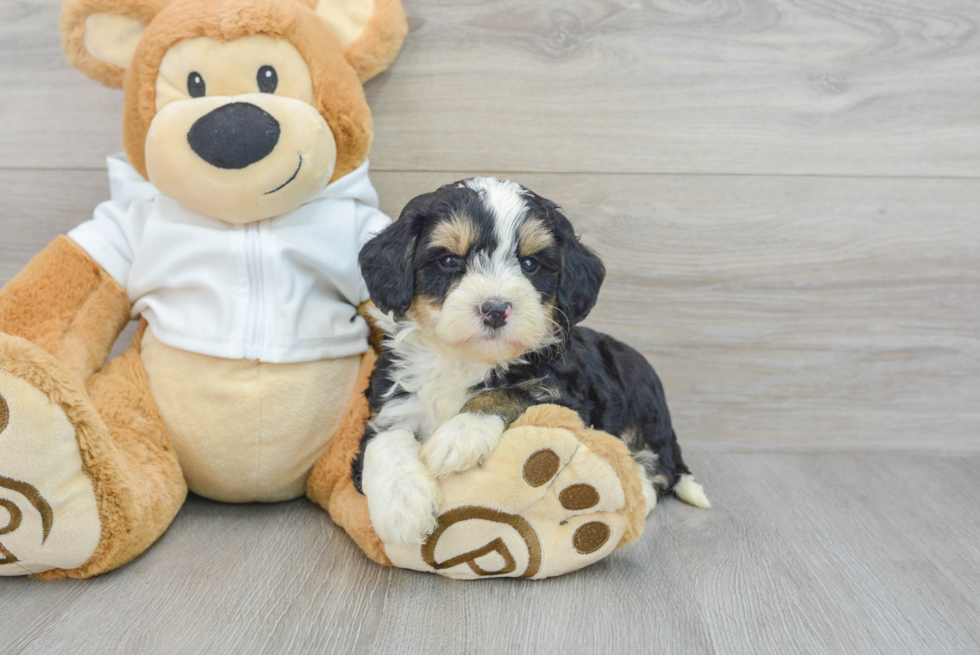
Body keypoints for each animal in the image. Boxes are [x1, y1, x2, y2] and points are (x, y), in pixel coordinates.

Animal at [356, 179, 708, 548]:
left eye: (529, 265)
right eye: (449, 260)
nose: (495, 309)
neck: (466, 360)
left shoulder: (566, 399)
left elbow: (509, 393)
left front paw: (460, 434)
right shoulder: (388, 399)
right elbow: (385, 439)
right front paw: (403, 506)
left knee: (658, 471)